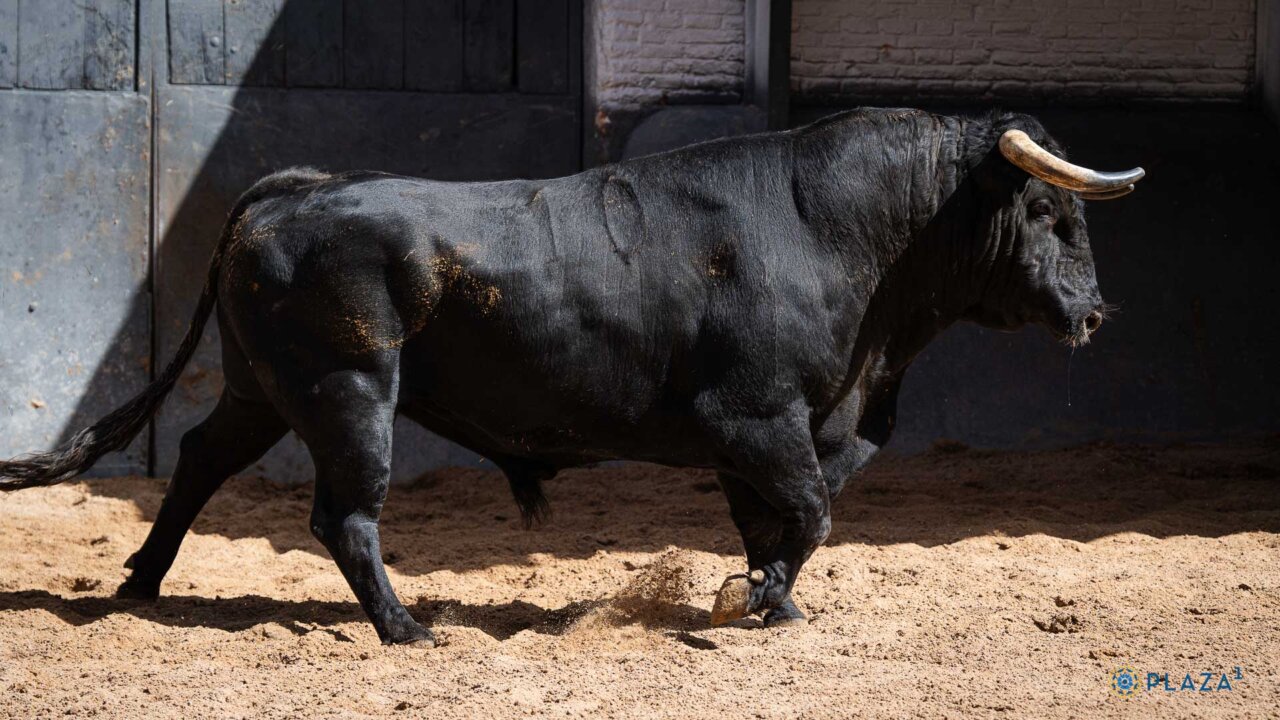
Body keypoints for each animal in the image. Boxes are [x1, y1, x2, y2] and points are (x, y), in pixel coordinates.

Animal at [0, 108, 1143, 645]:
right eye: (1051, 214)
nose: (1093, 314)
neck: (843, 232)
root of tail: (304, 189)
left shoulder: (757, 437)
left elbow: (777, 522)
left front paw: (767, 602)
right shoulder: (753, 417)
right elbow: (809, 514)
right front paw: (755, 599)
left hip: (259, 388)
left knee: (198, 459)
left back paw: (141, 583)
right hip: (349, 392)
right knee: (344, 515)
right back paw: (405, 627)